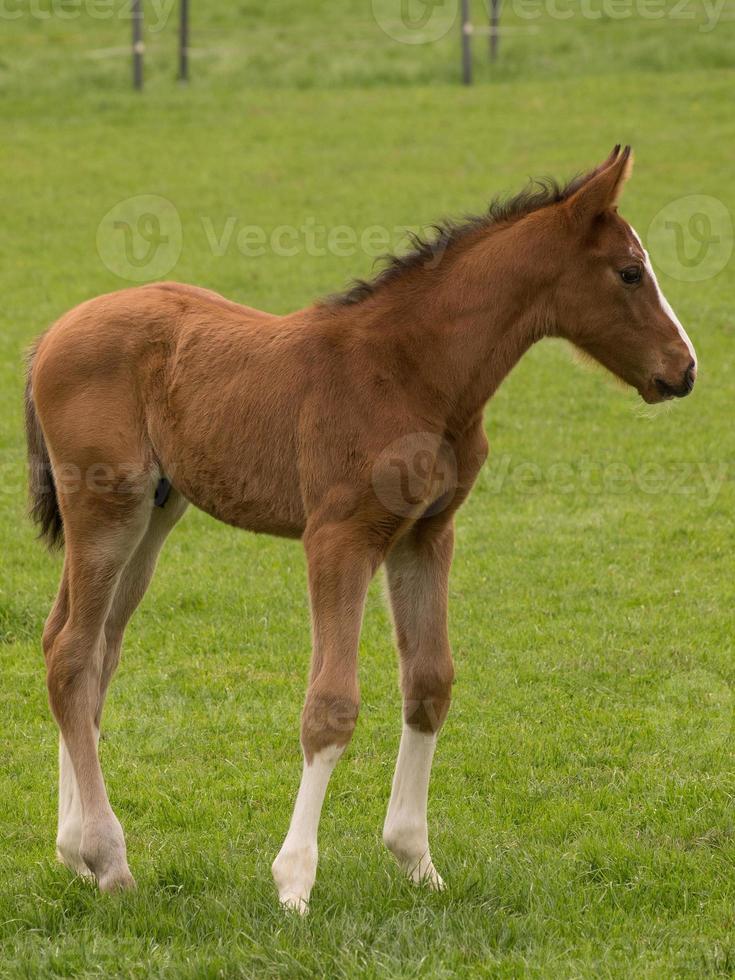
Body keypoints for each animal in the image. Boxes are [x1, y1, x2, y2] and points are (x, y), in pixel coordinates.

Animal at [23, 145, 700, 912]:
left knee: (89, 649)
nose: (684, 369)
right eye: (629, 271)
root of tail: (52, 334)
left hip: (156, 515)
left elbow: (430, 683)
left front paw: (416, 860)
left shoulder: (425, 535)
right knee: (72, 654)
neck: (411, 372)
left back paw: (75, 851)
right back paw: (108, 857)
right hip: (107, 508)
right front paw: (294, 881)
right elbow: (331, 704)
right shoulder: (338, 538)